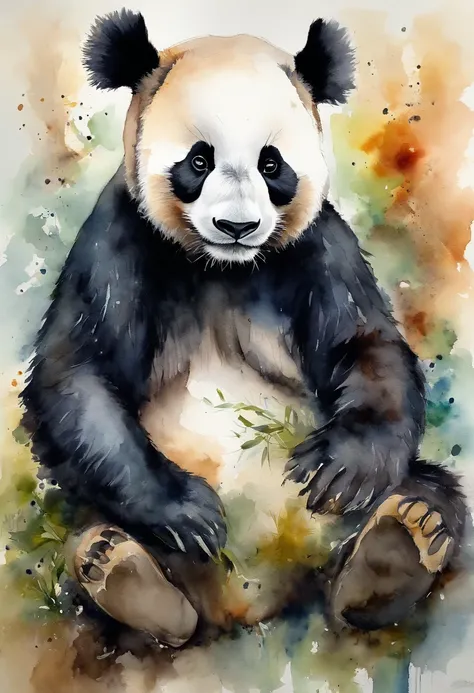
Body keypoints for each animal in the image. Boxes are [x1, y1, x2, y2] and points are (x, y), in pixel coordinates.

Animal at [21, 8, 467, 647]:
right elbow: (78, 370)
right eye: (199, 161)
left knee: (433, 492)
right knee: (82, 532)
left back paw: (401, 541)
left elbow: (363, 344)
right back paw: (122, 571)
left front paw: (340, 467)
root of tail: (247, 603)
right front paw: (188, 512)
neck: (220, 267)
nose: (237, 226)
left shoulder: (317, 245)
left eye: (271, 163)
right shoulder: (117, 238)